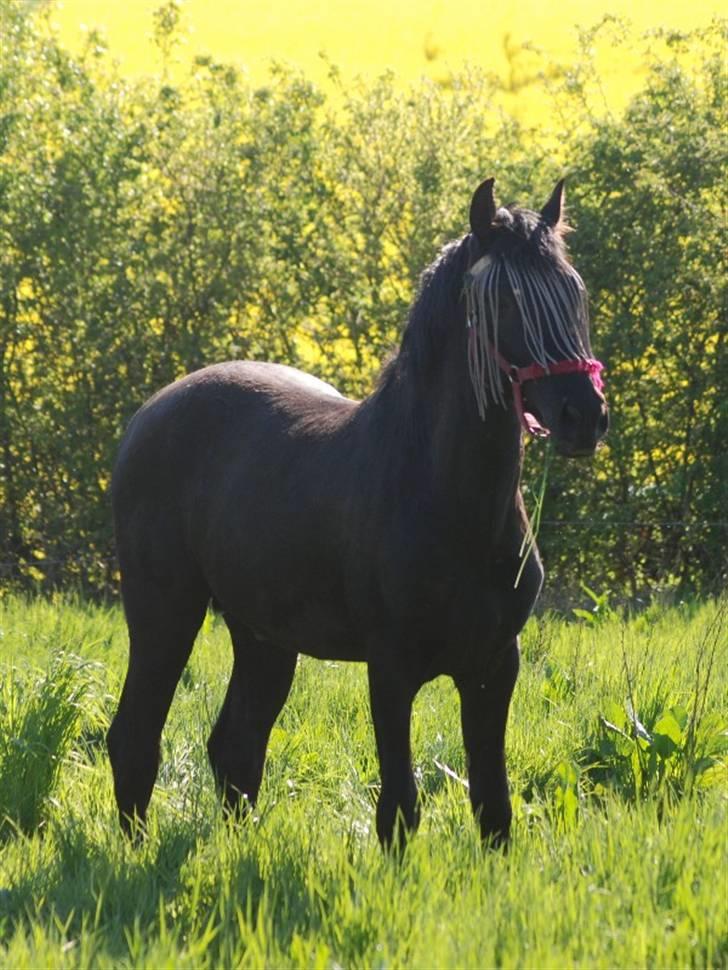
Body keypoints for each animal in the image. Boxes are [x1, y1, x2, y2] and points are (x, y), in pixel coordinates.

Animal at [108, 178, 608, 844]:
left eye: (574, 291)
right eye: (505, 300)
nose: (585, 415)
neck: (449, 502)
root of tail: (148, 415)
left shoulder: (495, 666)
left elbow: (493, 807)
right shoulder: (391, 668)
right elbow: (399, 808)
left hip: (263, 635)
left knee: (235, 746)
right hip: (164, 611)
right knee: (136, 738)